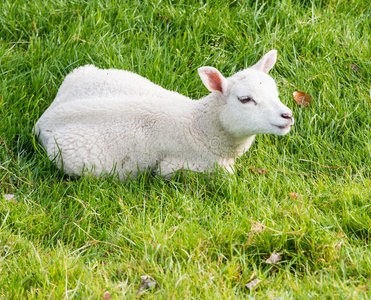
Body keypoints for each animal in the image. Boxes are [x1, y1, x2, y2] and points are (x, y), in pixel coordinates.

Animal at [35, 49, 296, 180]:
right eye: (245, 99)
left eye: (275, 90)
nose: (287, 116)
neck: (200, 126)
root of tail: (44, 119)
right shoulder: (181, 166)